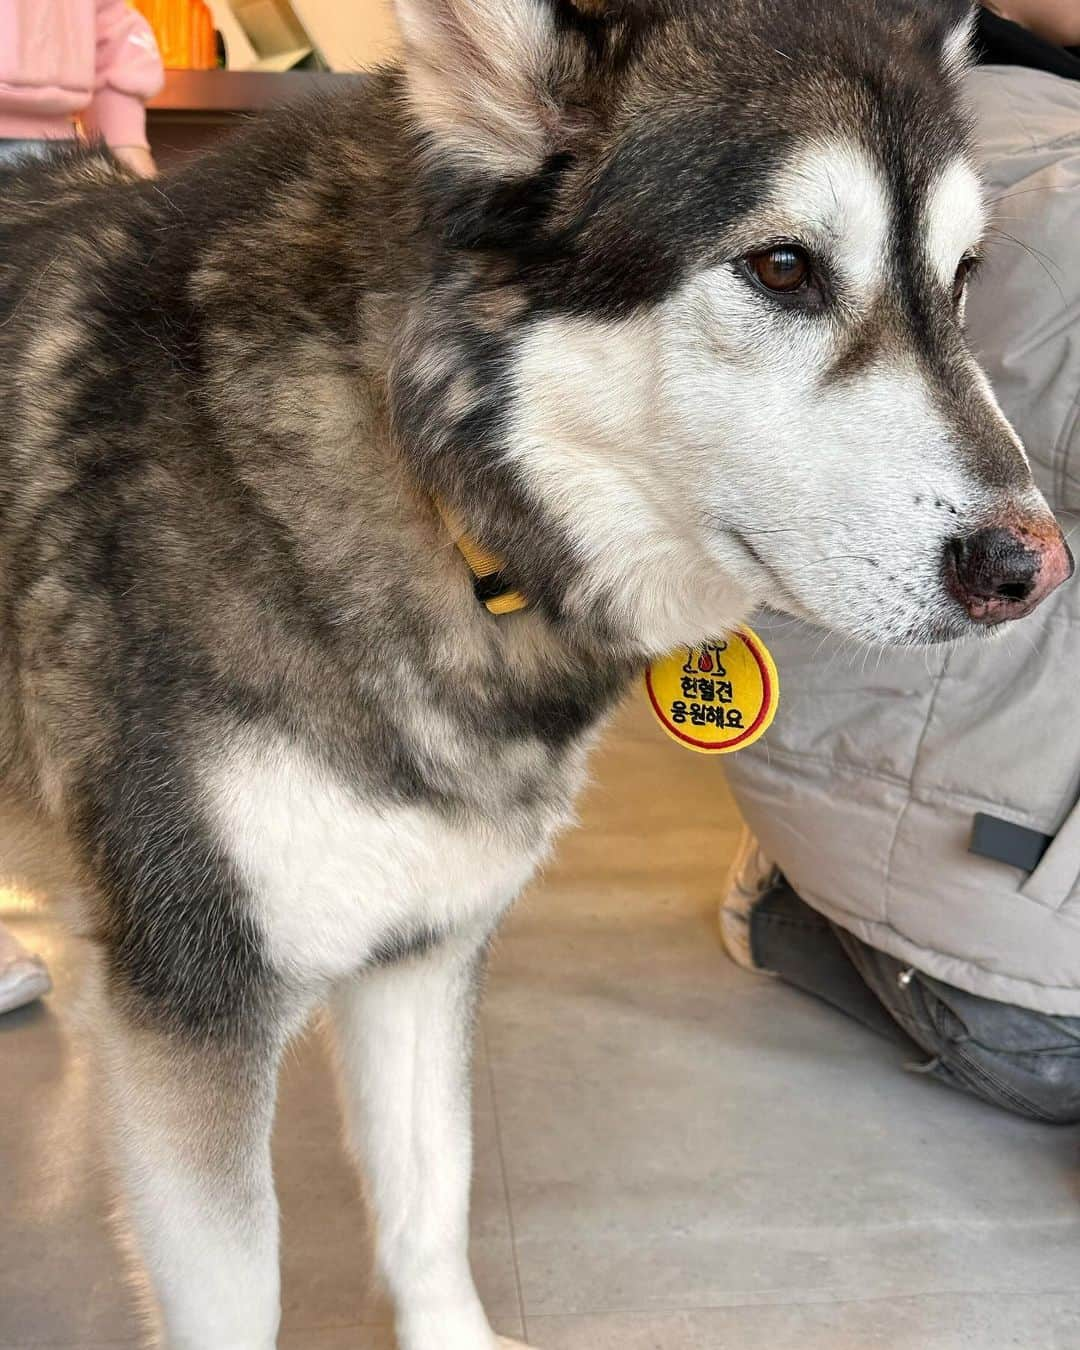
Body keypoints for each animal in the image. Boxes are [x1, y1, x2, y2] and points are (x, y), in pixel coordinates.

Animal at [0, 0, 1069, 1344]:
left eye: (963, 277)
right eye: (783, 269)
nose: (1031, 567)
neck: (434, 495)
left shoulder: (425, 942)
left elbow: (430, 1200)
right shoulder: (194, 1000)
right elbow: (239, 1291)